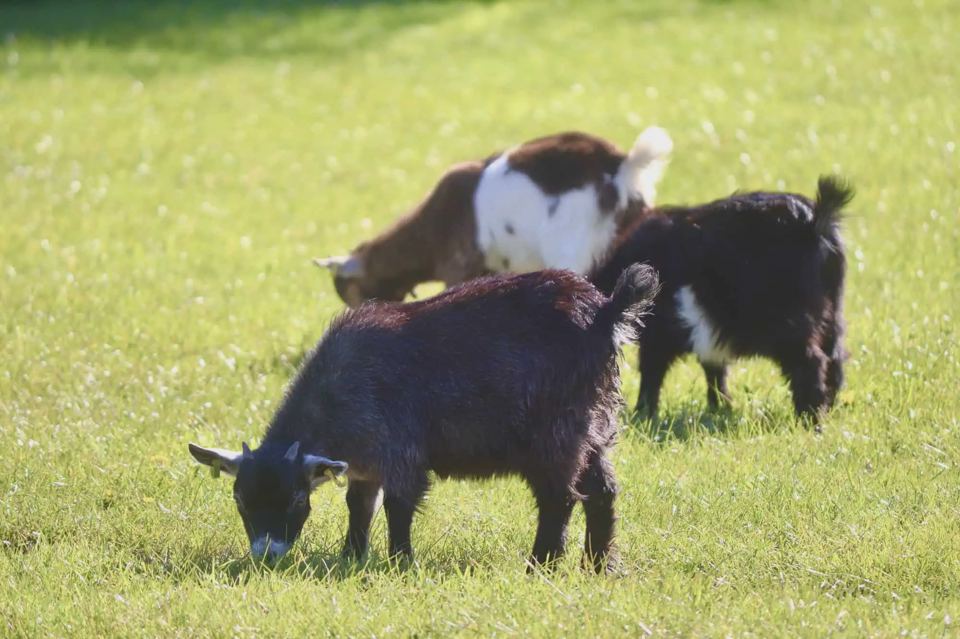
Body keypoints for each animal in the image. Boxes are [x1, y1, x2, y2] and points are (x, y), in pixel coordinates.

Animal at [189, 264, 659, 572]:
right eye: (240, 500)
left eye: (295, 501)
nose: (266, 558)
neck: (338, 388)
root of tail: (607, 313)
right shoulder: (364, 465)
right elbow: (359, 506)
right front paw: (351, 556)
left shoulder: (401, 454)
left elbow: (397, 506)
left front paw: (400, 563)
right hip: (595, 428)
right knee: (603, 492)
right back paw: (598, 567)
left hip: (556, 435)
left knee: (559, 499)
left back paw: (539, 567)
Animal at [590, 176, 853, 423]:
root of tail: (815, 220)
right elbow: (713, 366)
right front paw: (720, 407)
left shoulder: (659, 330)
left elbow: (652, 368)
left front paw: (643, 413)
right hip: (833, 308)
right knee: (835, 356)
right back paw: (828, 407)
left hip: (787, 319)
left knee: (809, 361)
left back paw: (809, 417)